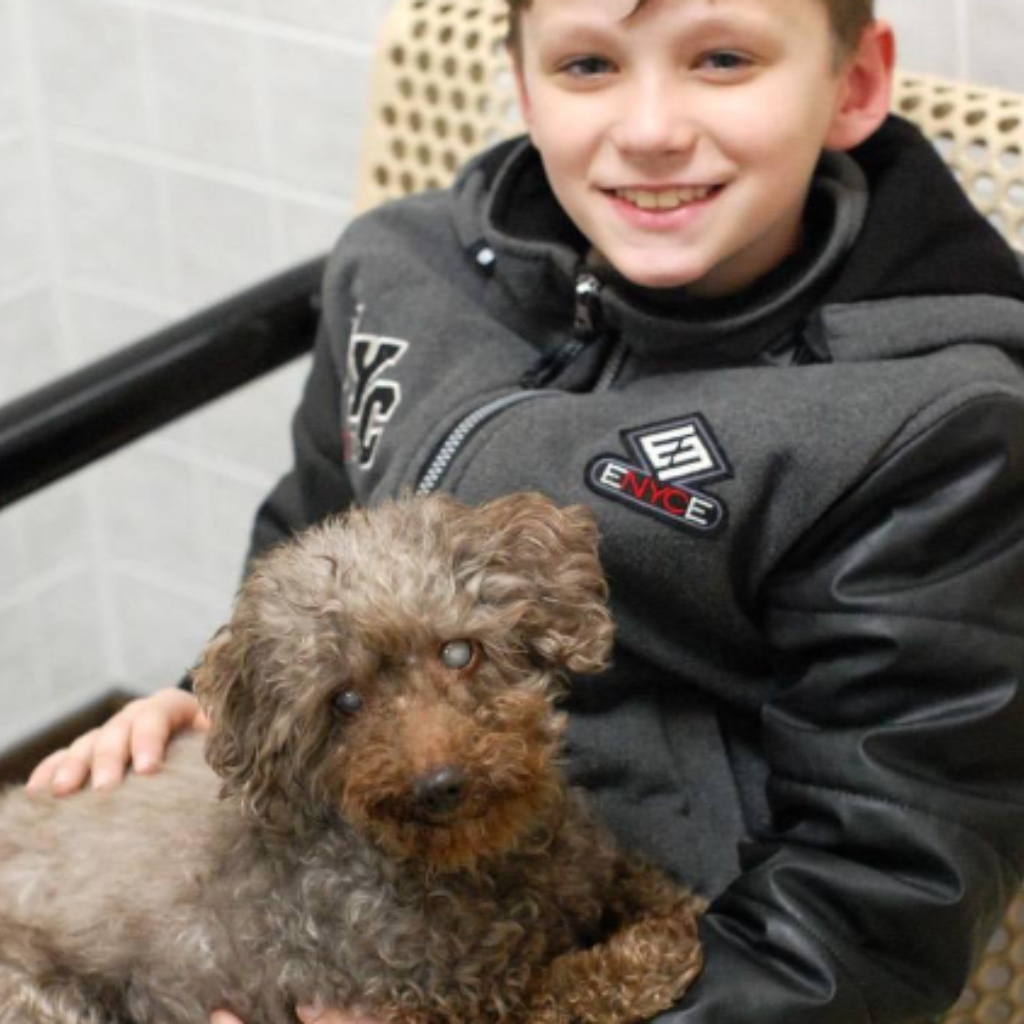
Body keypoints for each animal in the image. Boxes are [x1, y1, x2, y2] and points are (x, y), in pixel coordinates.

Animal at [0, 493, 704, 1024]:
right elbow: (570, 987)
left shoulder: (586, 865)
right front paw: (651, 954)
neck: (479, 866)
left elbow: (640, 880)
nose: (440, 784)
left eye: (458, 652)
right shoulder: (436, 1002)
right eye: (344, 700)